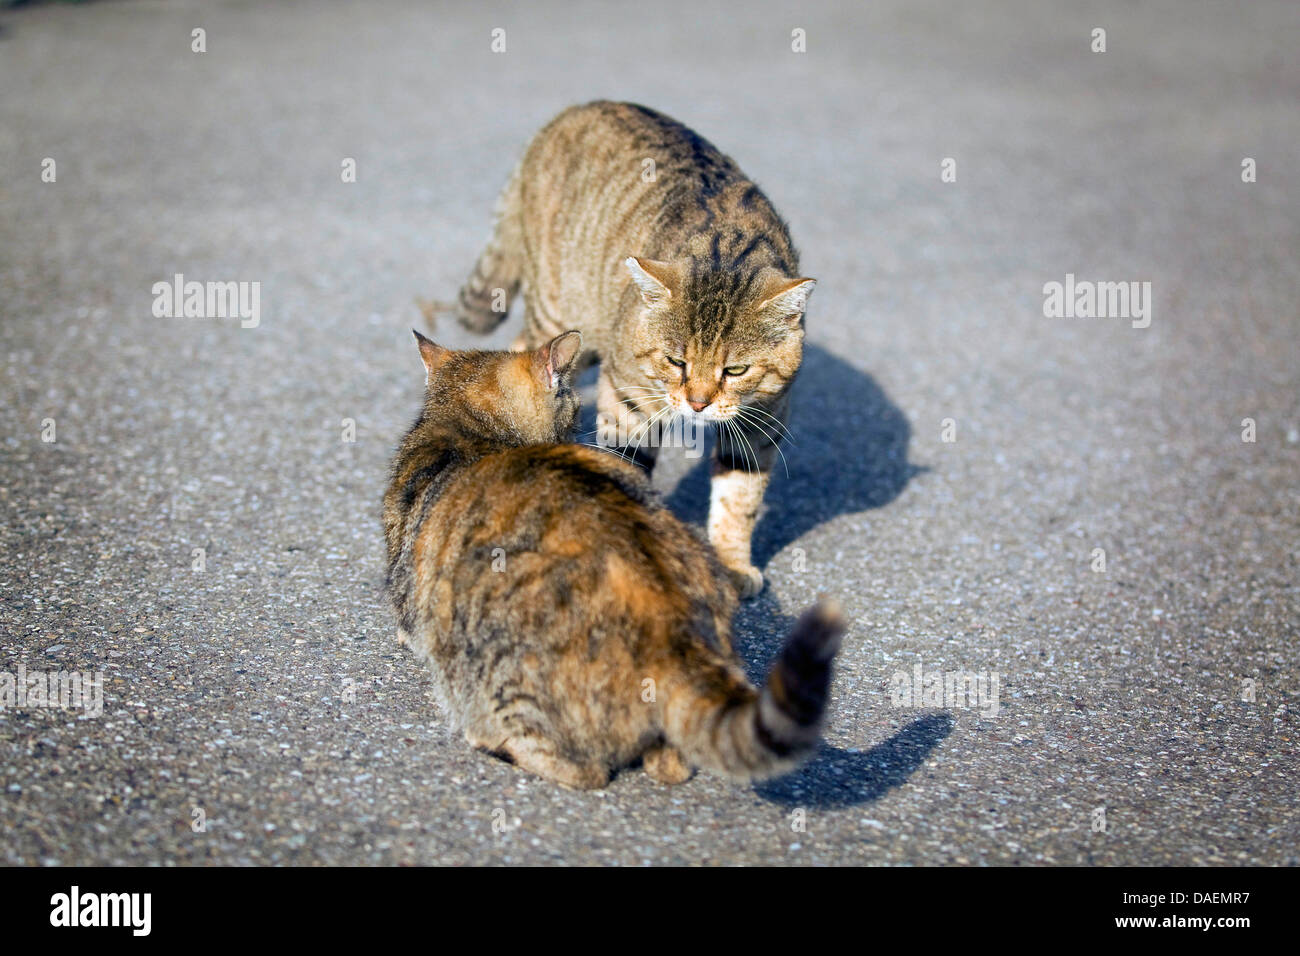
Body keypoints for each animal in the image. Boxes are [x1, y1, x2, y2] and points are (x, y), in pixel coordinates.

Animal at [434, 102, 811, 598]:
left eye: (735, 370)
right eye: (676, 361)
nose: (698, 403)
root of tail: (572, 111)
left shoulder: (764, 415)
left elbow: (739, 497)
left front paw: (731, 563)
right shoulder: (628, 394)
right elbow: (627, 466)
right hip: (561, 315)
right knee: (523, 356)